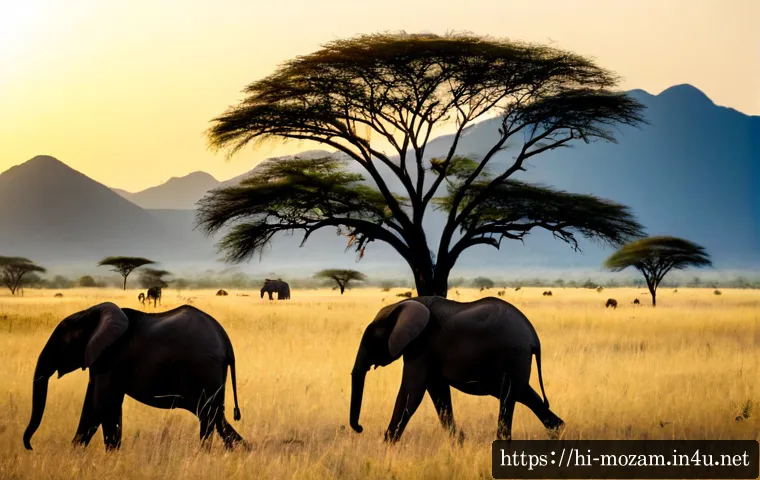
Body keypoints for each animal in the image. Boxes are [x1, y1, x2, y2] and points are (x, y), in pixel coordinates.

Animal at [23, 302, 247, 451]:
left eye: (62, 340)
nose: (30, 447)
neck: (92, 312)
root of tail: (227, 344)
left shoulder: (112, 357)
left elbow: (101, 403)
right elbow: (96, 404)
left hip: (204, 371)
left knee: (209, 416)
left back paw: (204, 454)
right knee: (215, 417)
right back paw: (242, 451)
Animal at [349, 296, 564, 443]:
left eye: (369, 339)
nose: (360, 428)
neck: (402, 304)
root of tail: (533, 338)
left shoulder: (421, 346)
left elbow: (412, 393)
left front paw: (387, 444)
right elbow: (438, 393)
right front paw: (458, 441)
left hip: (512, 355)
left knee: (509, 397)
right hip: (515, 360)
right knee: (524, 393)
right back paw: (557, 430)